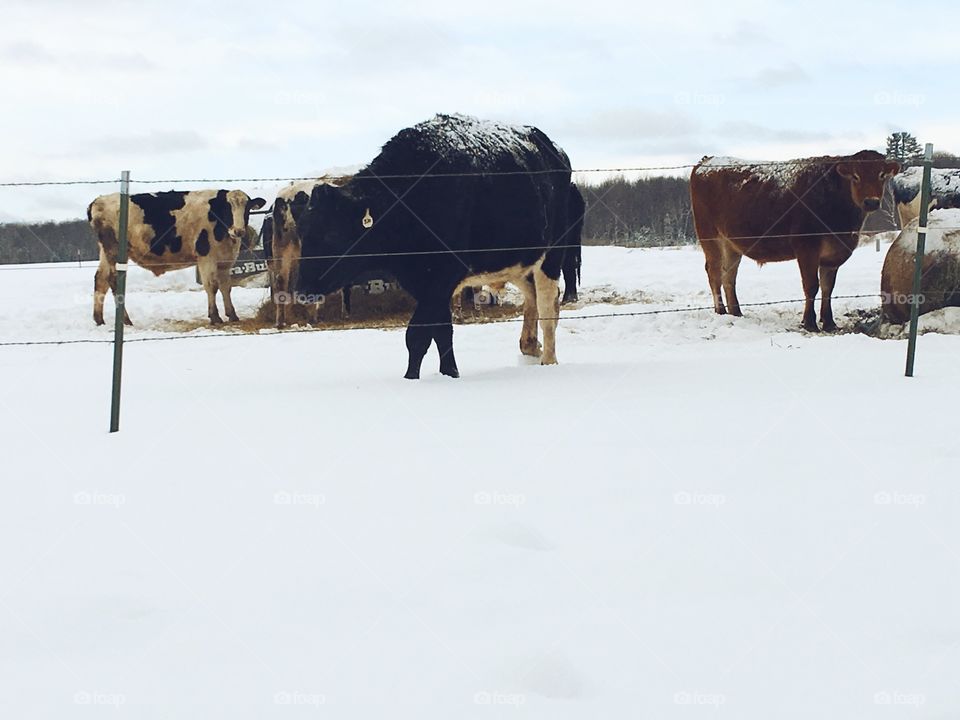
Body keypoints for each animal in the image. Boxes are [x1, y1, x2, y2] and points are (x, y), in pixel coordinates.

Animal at [88, 189, 266, 325]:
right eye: (228, 208)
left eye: (247, 209)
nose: (238, 231)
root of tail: (99, 200)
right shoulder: (206, 257)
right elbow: (212, 286)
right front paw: (215, 317)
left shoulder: (225, 260)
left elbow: (226, 287)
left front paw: (232, 315)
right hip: (114, 250)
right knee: (113, 280)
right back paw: (125, 320)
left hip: (106, 252)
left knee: (100, 279)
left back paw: (99, 320)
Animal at [295, 113, 573, 379]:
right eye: (302, 232)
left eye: (331, 234)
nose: (301, 290)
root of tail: (553, 148)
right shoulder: (424, 281)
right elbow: (441, 332)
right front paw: (450, 372)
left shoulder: (442, 277)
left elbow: (417, 336)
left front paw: (412, 378)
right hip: (518, 262)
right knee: (535, 298)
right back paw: (530, 346)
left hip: (551, 255)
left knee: (547, 304)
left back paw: (548, 360)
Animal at [689, 151, 899, 332]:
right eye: (855, 176)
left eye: (882, 175)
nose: (871, 202)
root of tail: (706, 161)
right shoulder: (806, 248)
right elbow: (811, 286)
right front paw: (810, 323)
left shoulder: (833, 255)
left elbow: (828, 288)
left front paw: (829, 322)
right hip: (710, 236)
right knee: (714, 272)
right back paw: (720, 311)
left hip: (732, 243)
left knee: (729, 276)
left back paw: (736, 312)